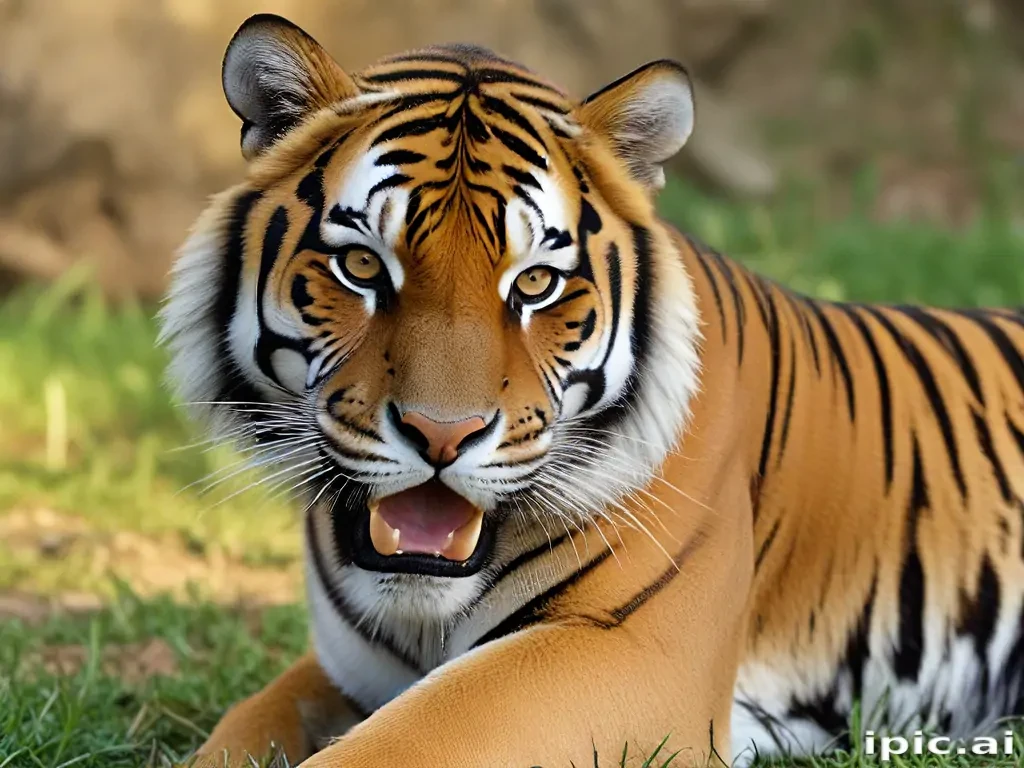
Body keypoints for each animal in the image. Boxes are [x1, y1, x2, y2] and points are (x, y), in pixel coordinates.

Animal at [158, 13, 1024, 768]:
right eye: (364, 265)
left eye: (536, 283)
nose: (442, 435)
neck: (421, 615)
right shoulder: (347, 671)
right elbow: (243, 724)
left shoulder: (628, 651)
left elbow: (395, 745)